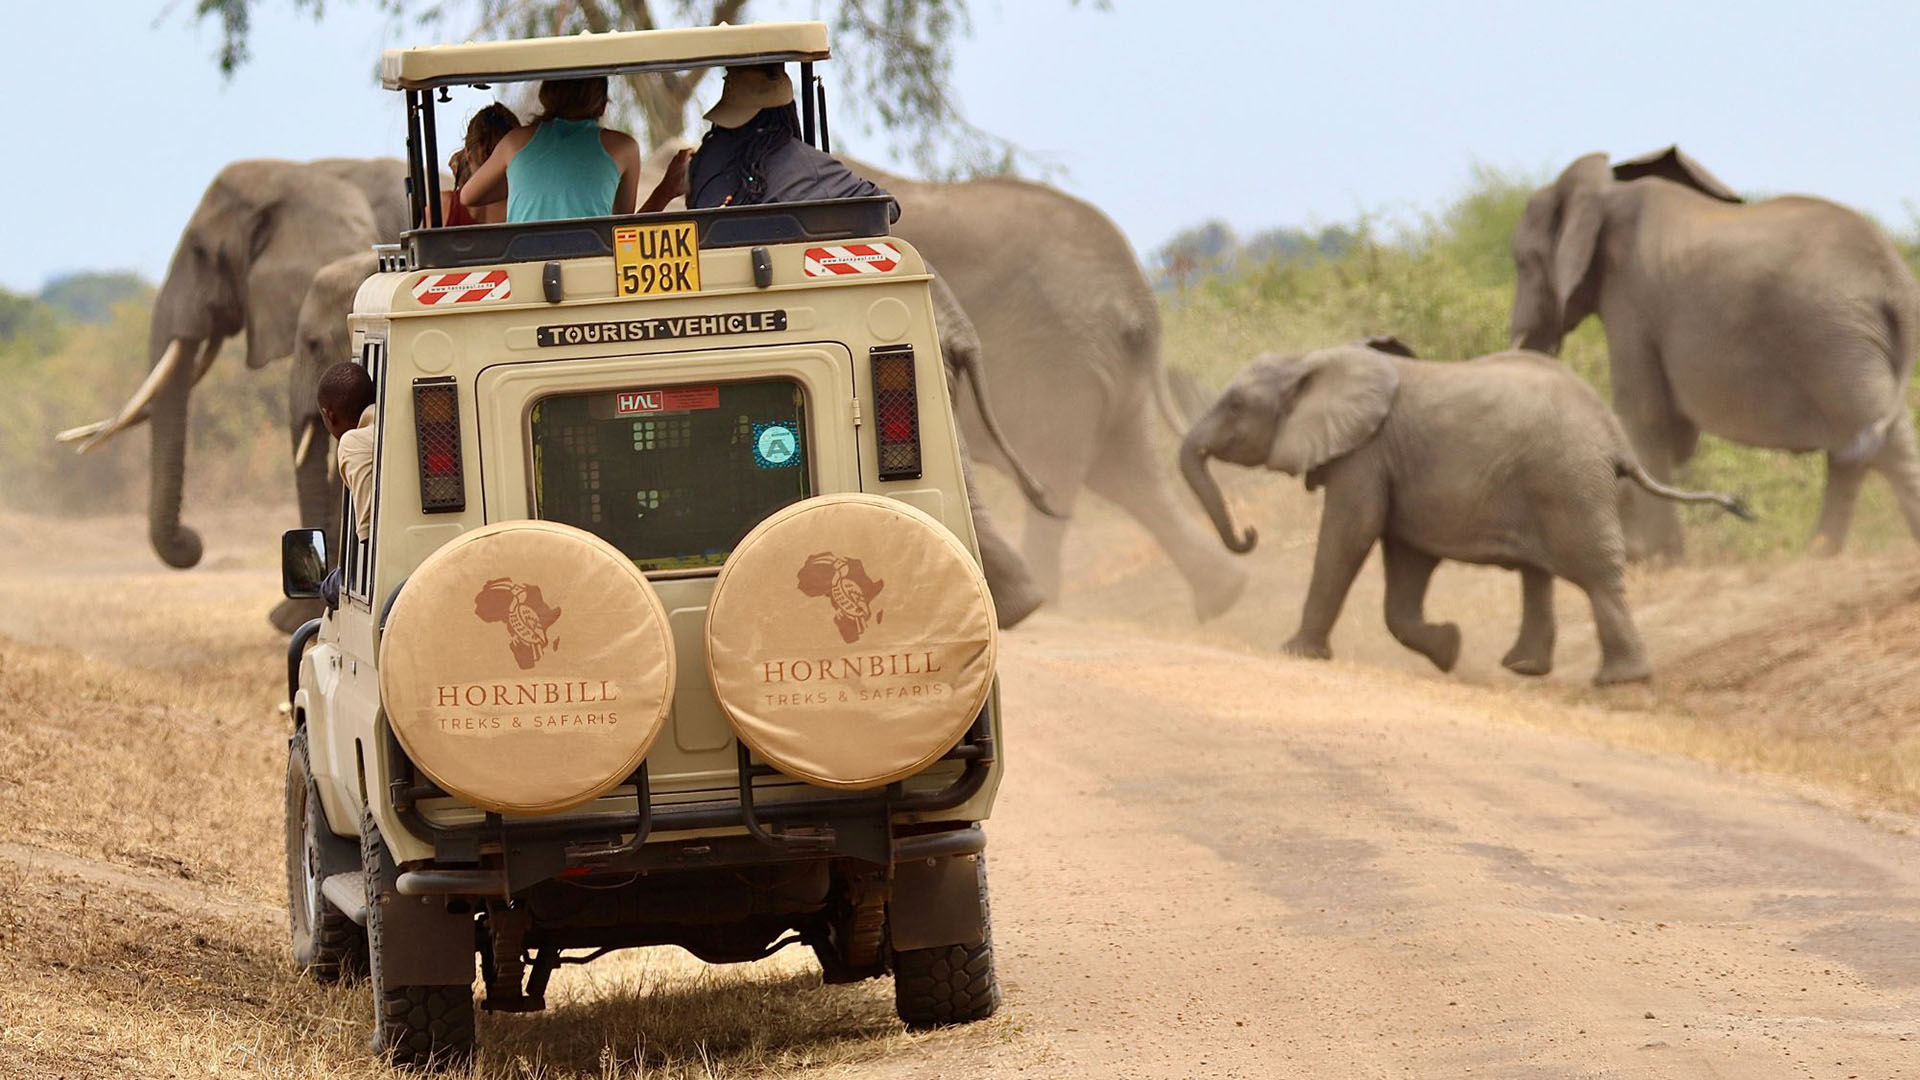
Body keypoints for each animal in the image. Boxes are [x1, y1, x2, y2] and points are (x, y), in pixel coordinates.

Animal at [1179, 339, 1752, 685]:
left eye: (1233, 405)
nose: (1249, 532)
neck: (1312, 360)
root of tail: (1616, 439)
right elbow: (1404, 559)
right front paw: (1449, 649)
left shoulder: (1365, 452)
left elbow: (1351, 531)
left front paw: (1294, 652)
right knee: (1539, 573)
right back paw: (1525, 668)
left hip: (1570, 482)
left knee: (1594, 573)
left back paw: (1618, 680)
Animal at [1510, 145, 1920, 560]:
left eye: (1522, 262)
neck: (1605, 193)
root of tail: (1895, 277)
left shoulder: (1629, 297)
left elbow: (1643, 411)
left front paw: (1662, 560)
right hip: (1850, 339)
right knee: (1856, 443)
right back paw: (1816, 556)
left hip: (1833, 336)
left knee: (1876, 438)